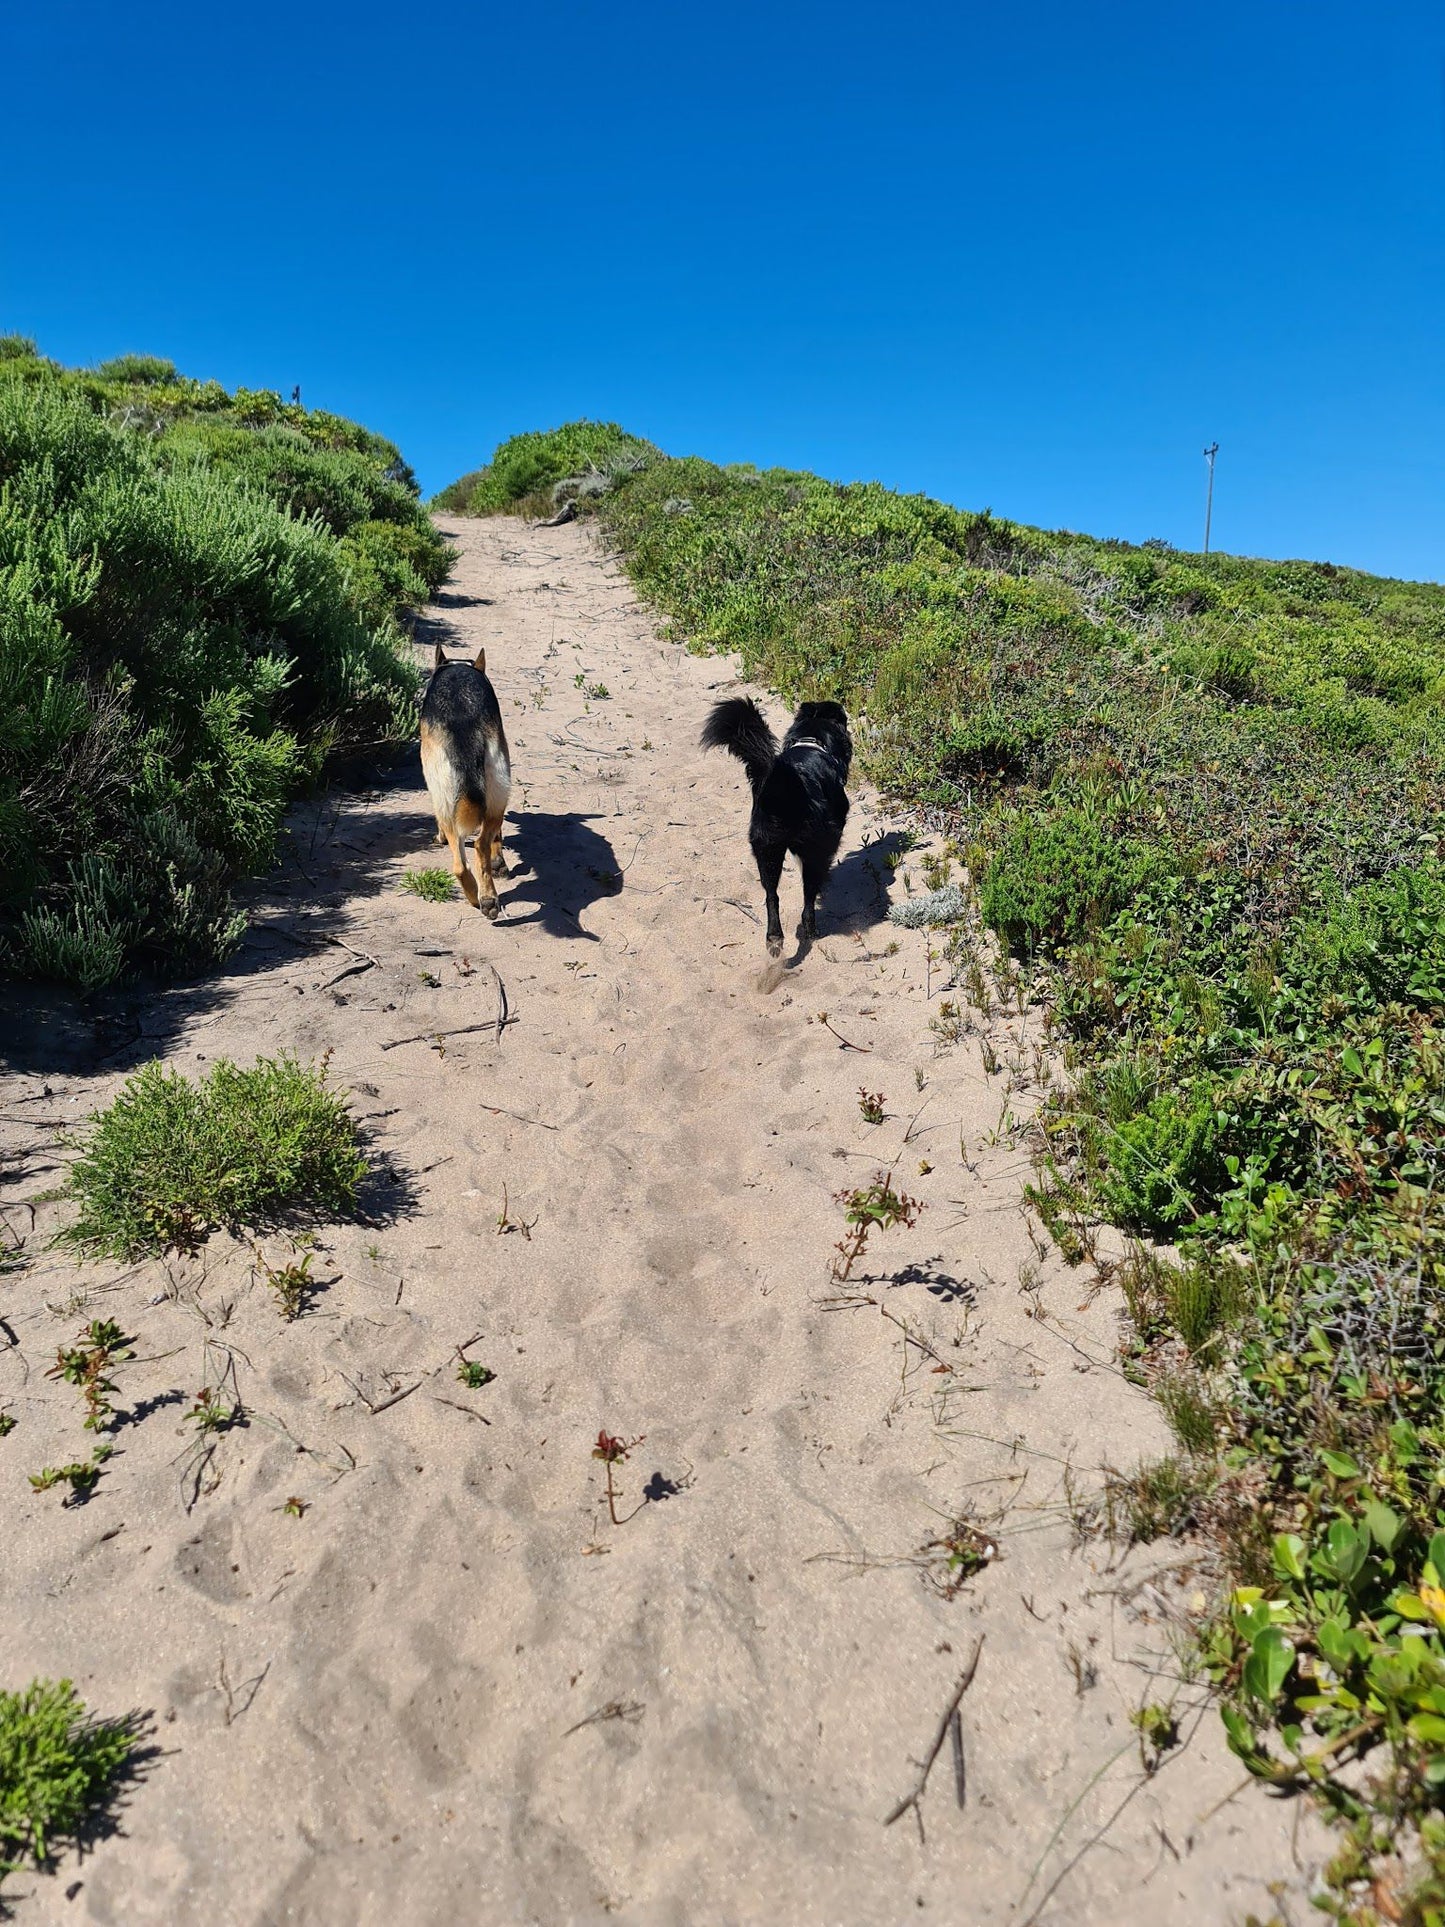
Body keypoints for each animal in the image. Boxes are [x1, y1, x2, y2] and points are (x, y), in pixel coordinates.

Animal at [421, 647, 512, 917]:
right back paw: (488, 897)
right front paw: (499, 862)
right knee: (476, 850)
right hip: (499, 788)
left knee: (466, 857)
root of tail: (464, 726)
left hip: (445, 798)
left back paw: (476, 898)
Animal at [697, 701, 847, 955]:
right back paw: (811, 931)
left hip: (766, 850)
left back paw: (774, 937)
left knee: (771, 896)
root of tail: (782, 784)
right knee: (807, 898)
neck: (810, 741)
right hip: (811, 849)